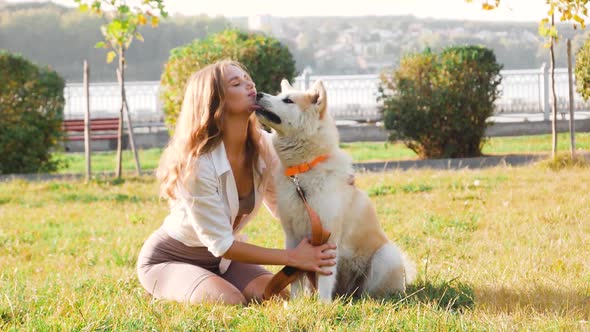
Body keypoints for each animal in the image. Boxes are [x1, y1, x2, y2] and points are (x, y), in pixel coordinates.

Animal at [254, 79, 416, 302]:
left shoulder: (327, 237)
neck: (303, 171)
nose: (258, 93)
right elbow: (294, 273)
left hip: (385, 256)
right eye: (278, 95)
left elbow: (324, 277)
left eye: (288, 100)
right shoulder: (293, 237)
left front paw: (322, 304)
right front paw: (296, 303)